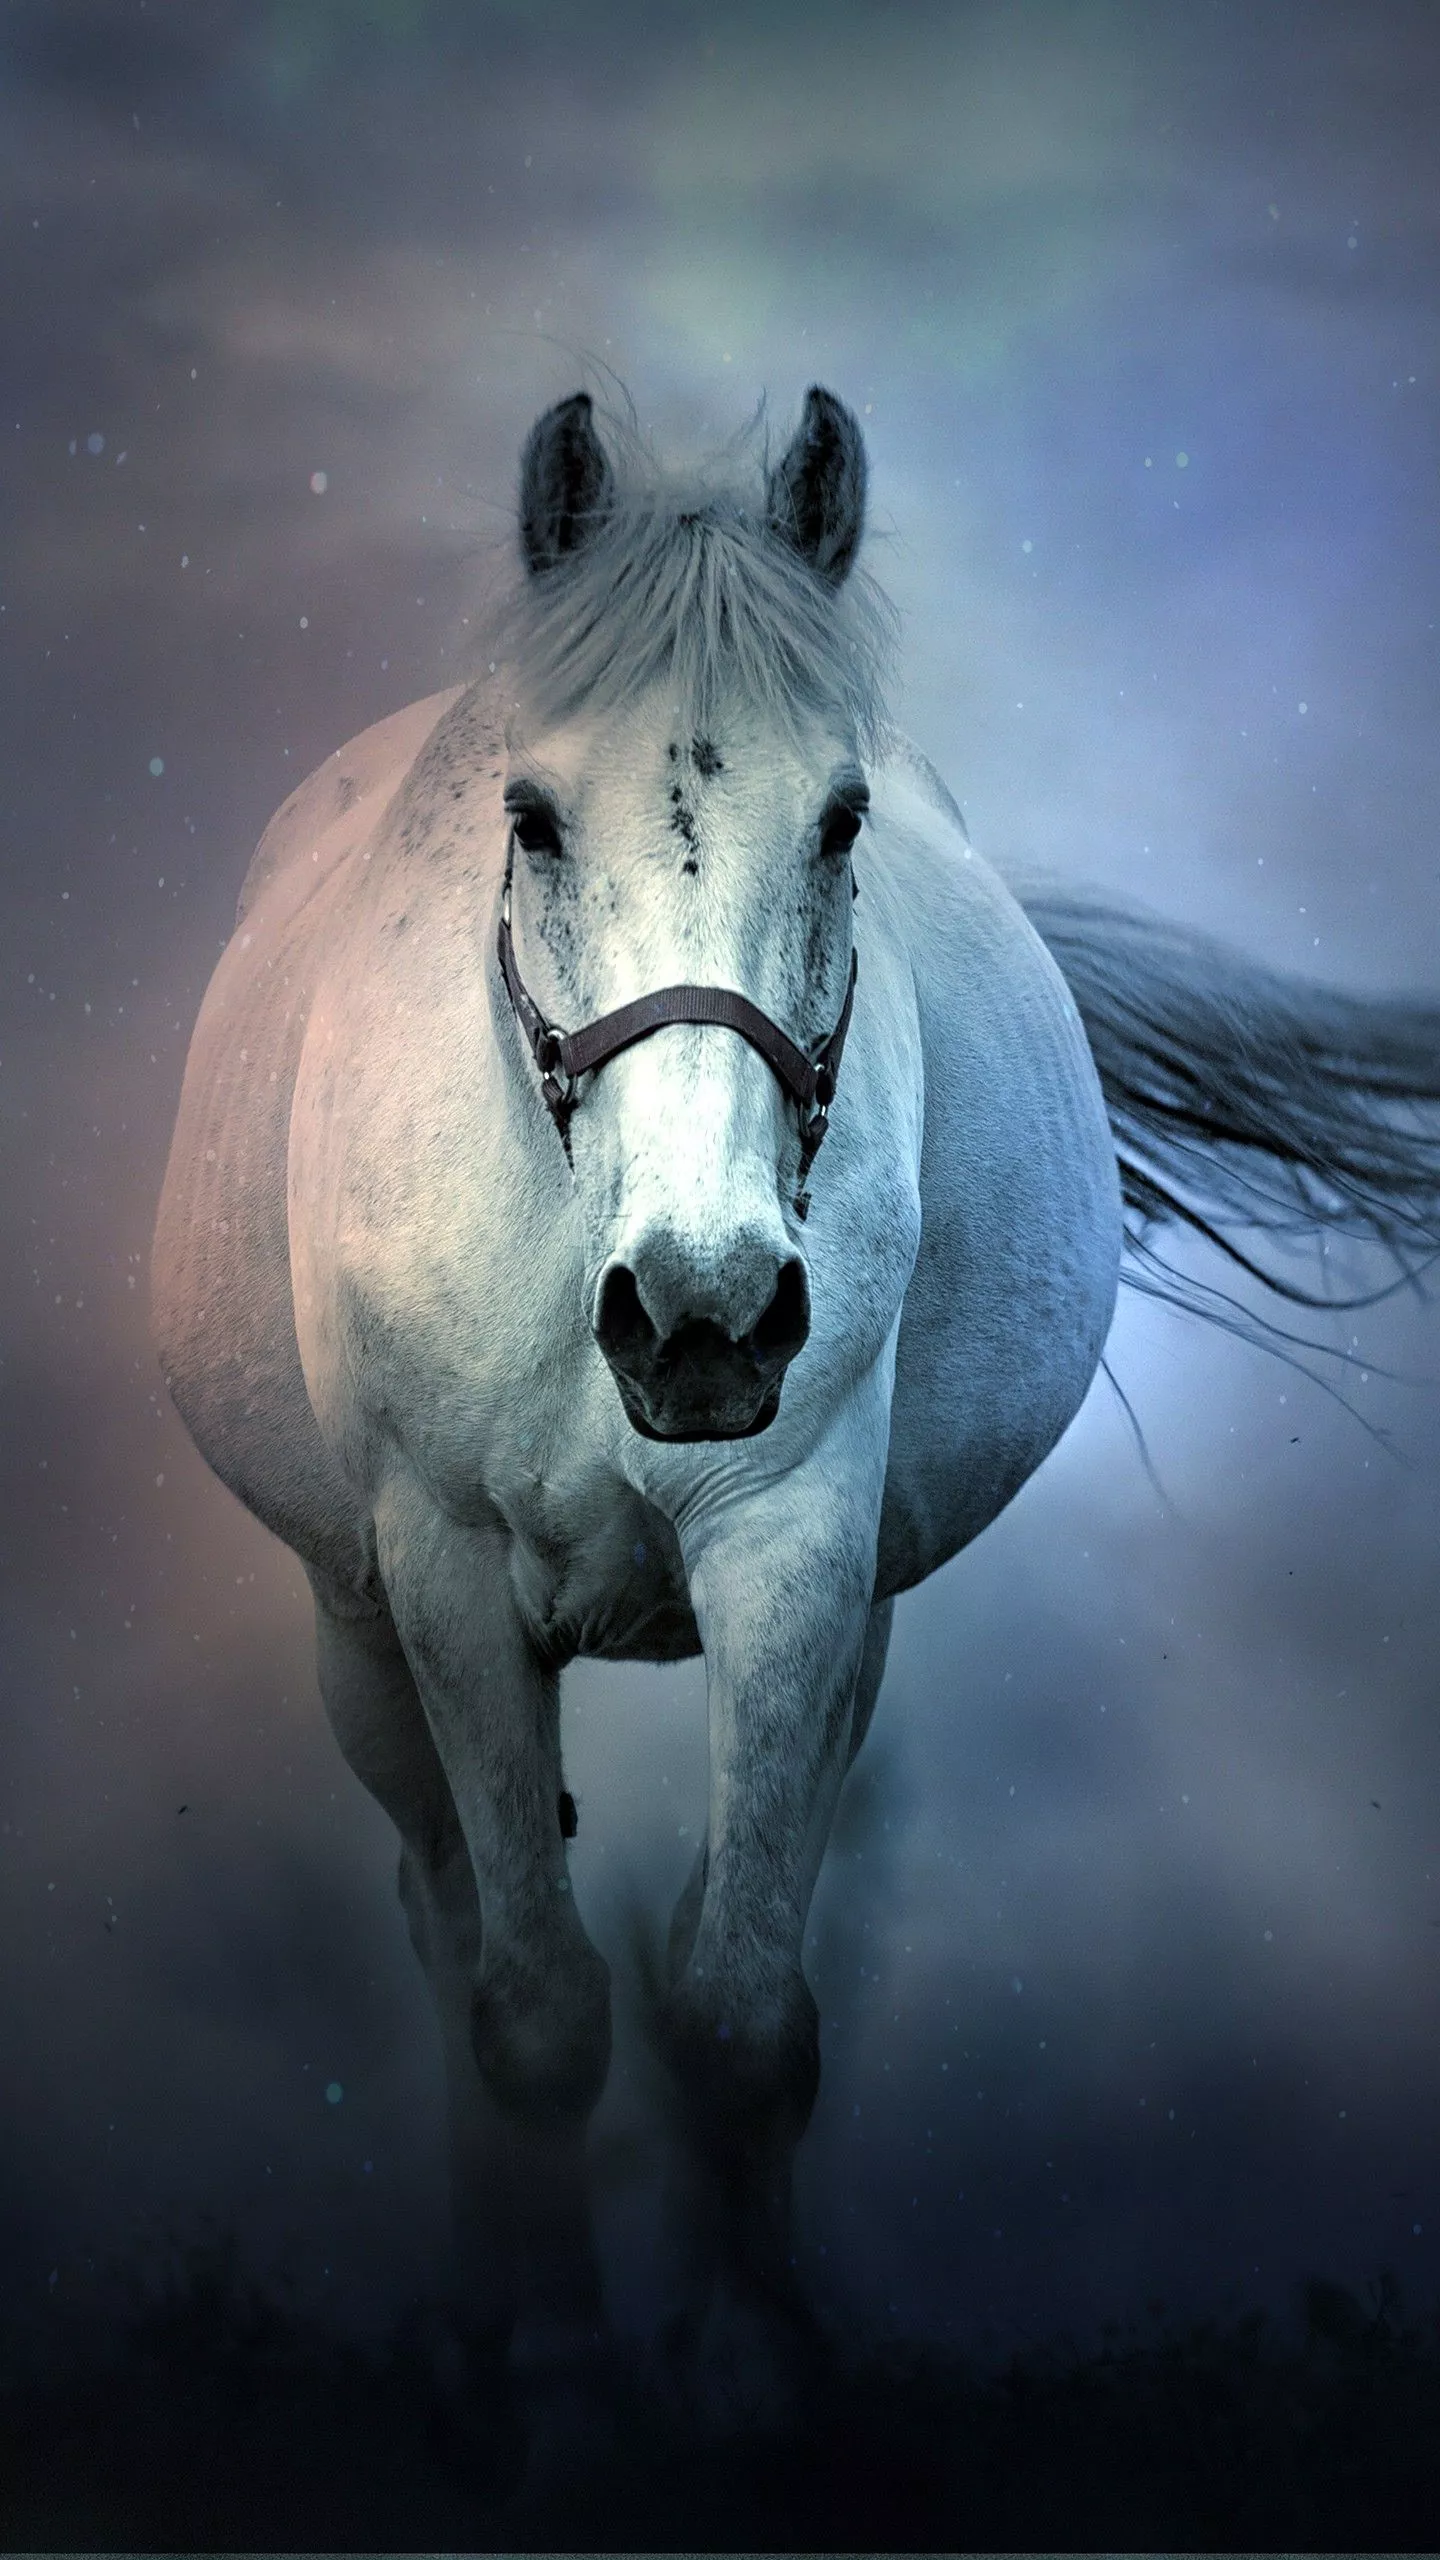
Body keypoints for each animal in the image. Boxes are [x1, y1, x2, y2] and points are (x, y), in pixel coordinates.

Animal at [152, 385, 1440, 2426]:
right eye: (529, 815)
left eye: (841, 820)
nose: (703, 1317)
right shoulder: (443, 1578)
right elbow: (534, 2007)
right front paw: (562, 2377)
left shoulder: (799, 1553)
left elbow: (744, 2005)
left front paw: (751, 2368)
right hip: (354, 1634)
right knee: (444, 1926)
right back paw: (478, 2313)